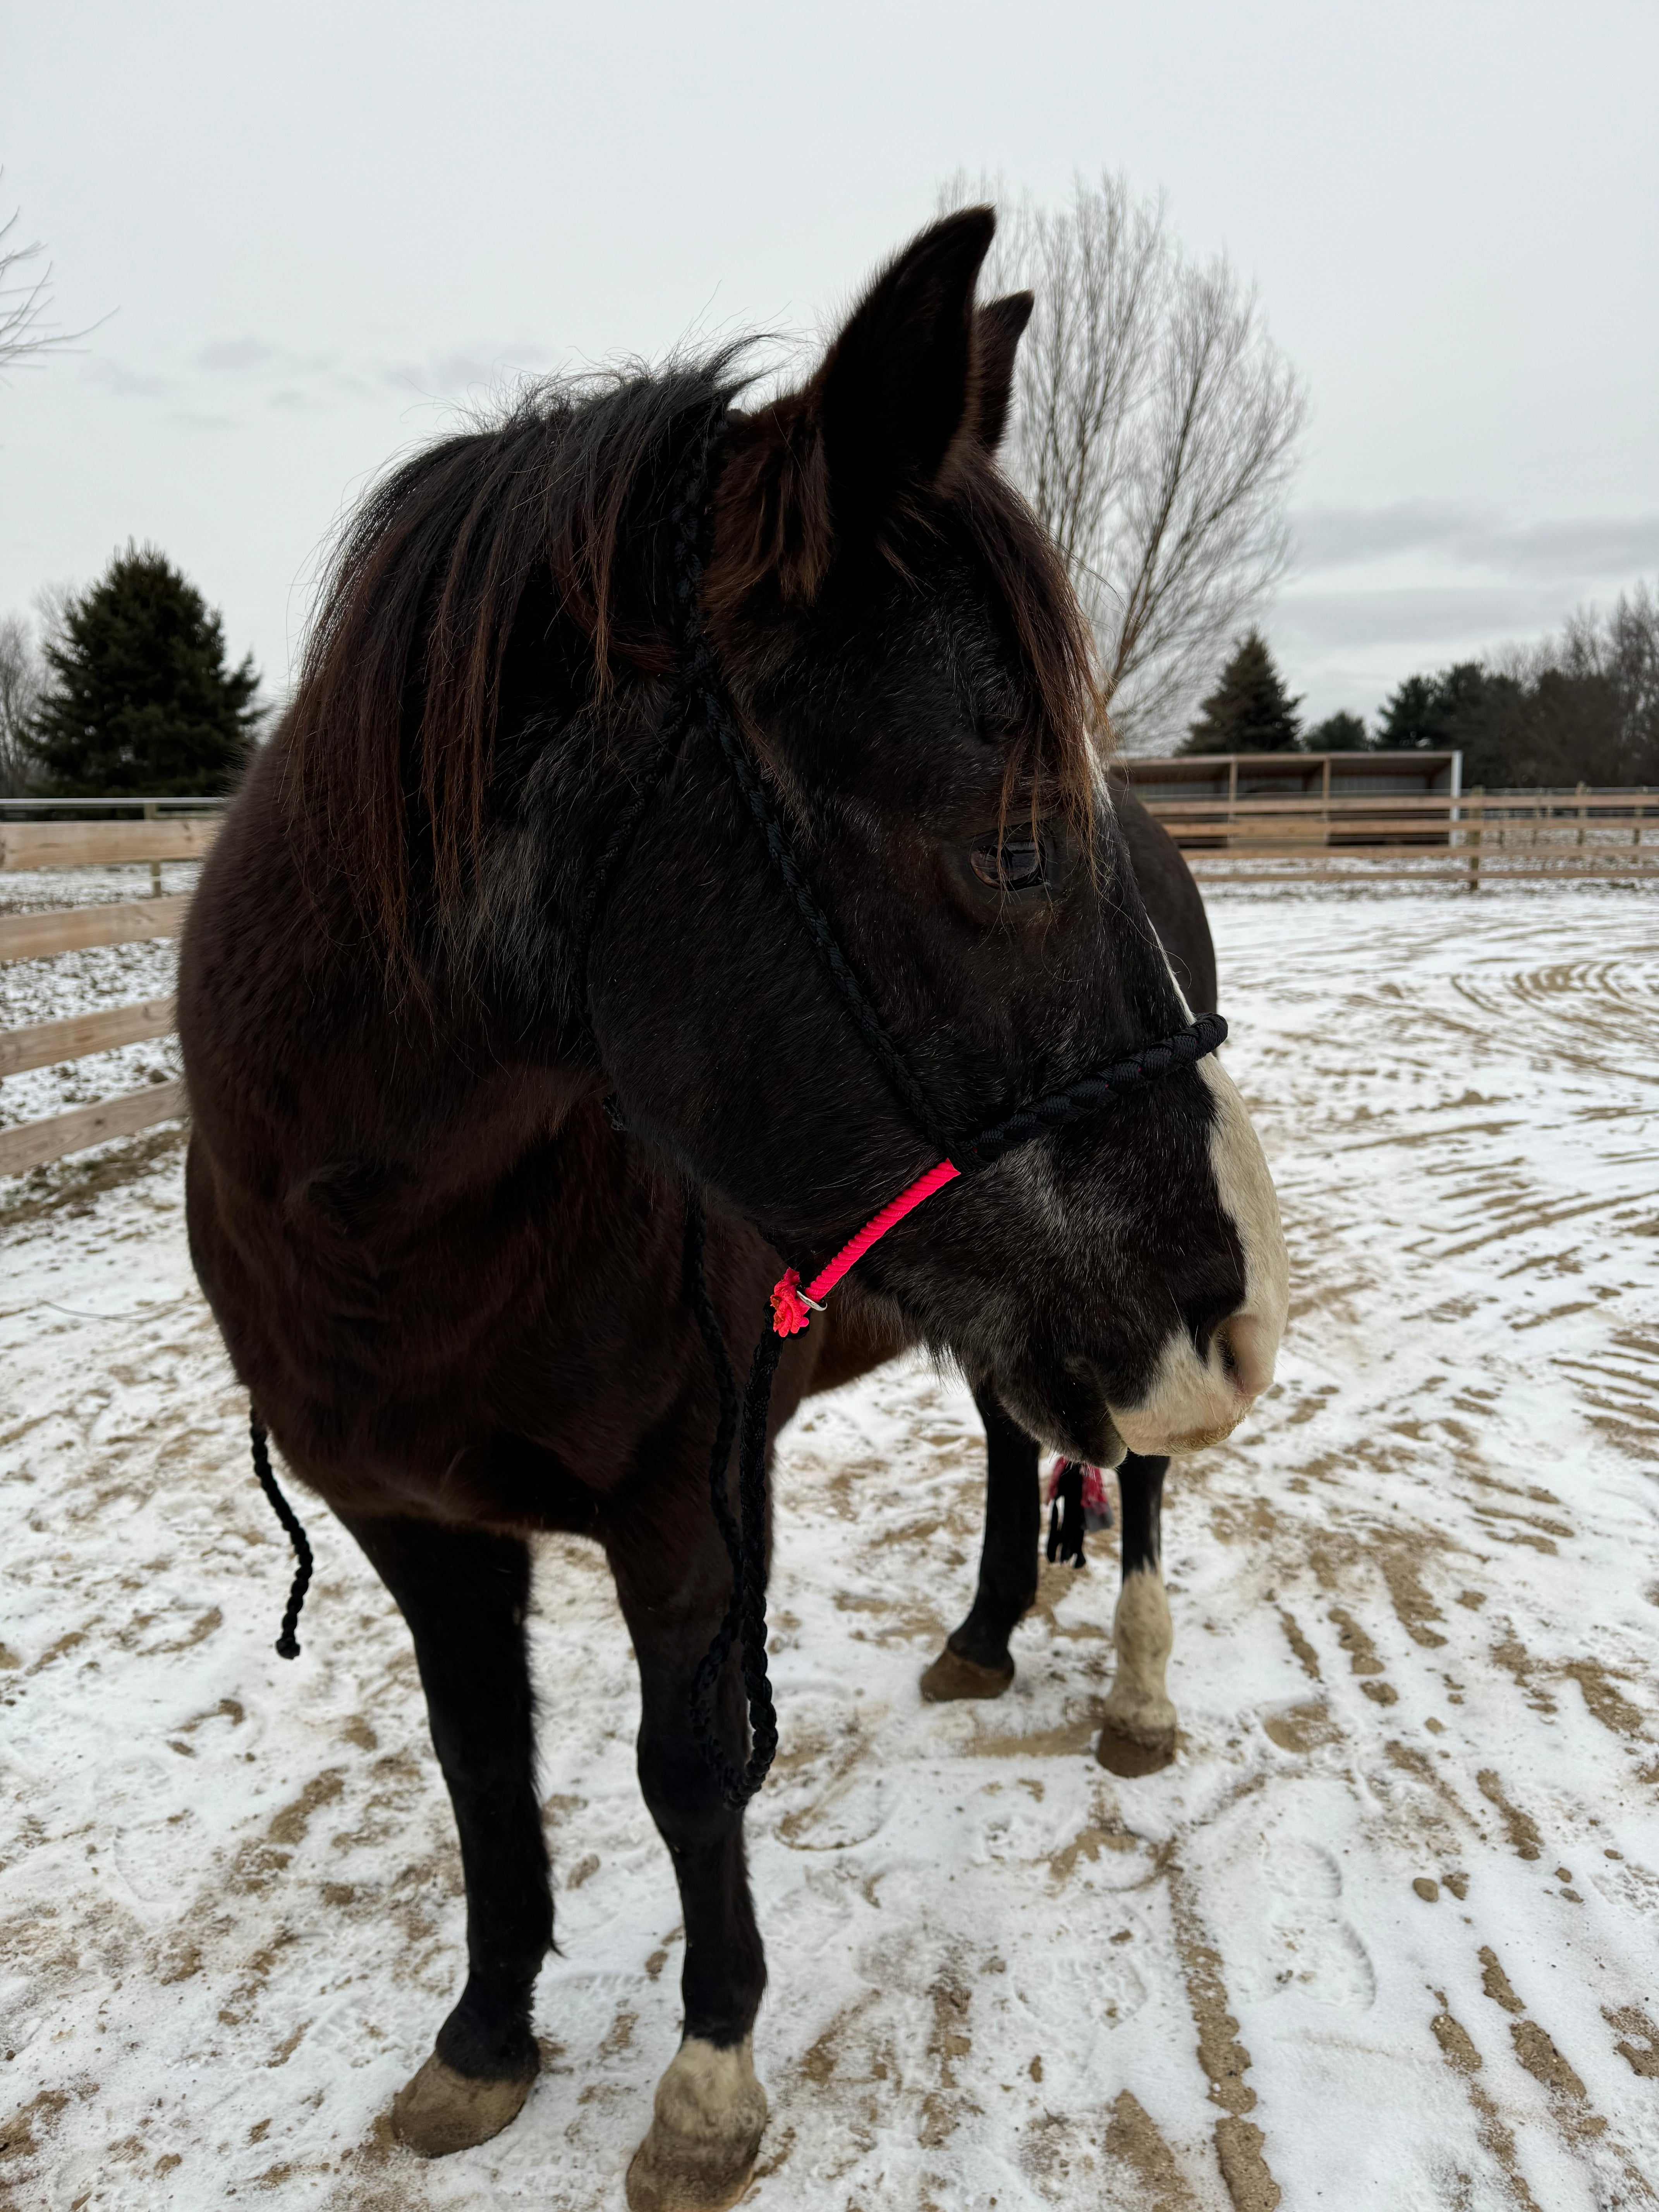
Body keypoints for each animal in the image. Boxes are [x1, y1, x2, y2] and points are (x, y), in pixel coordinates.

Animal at [184, 211, 1300, 2212]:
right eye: (1015, 842)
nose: (1236, 1320)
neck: (399, 1239)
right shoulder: (411, 1526)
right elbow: (482, 1768)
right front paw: (484, 2043)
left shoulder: (689, 1506)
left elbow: (689, 1771)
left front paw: (708, 2082)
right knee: (1017, 1449)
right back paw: (986, 1633)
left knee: (1139, 1491)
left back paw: (1132, 1696)